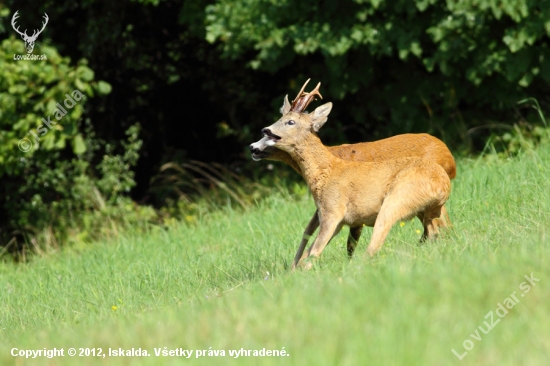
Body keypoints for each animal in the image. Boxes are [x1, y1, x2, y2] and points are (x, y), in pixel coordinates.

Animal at [250, 81, 458, 268]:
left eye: (290, 121)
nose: (255, 143)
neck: (325, 169)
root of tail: (448, 174)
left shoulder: (333, 211)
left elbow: (315, 250)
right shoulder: (332, 215)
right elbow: (309, 243)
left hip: (398, 198)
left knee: (377, 244)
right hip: (427, 209)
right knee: (435, 231)